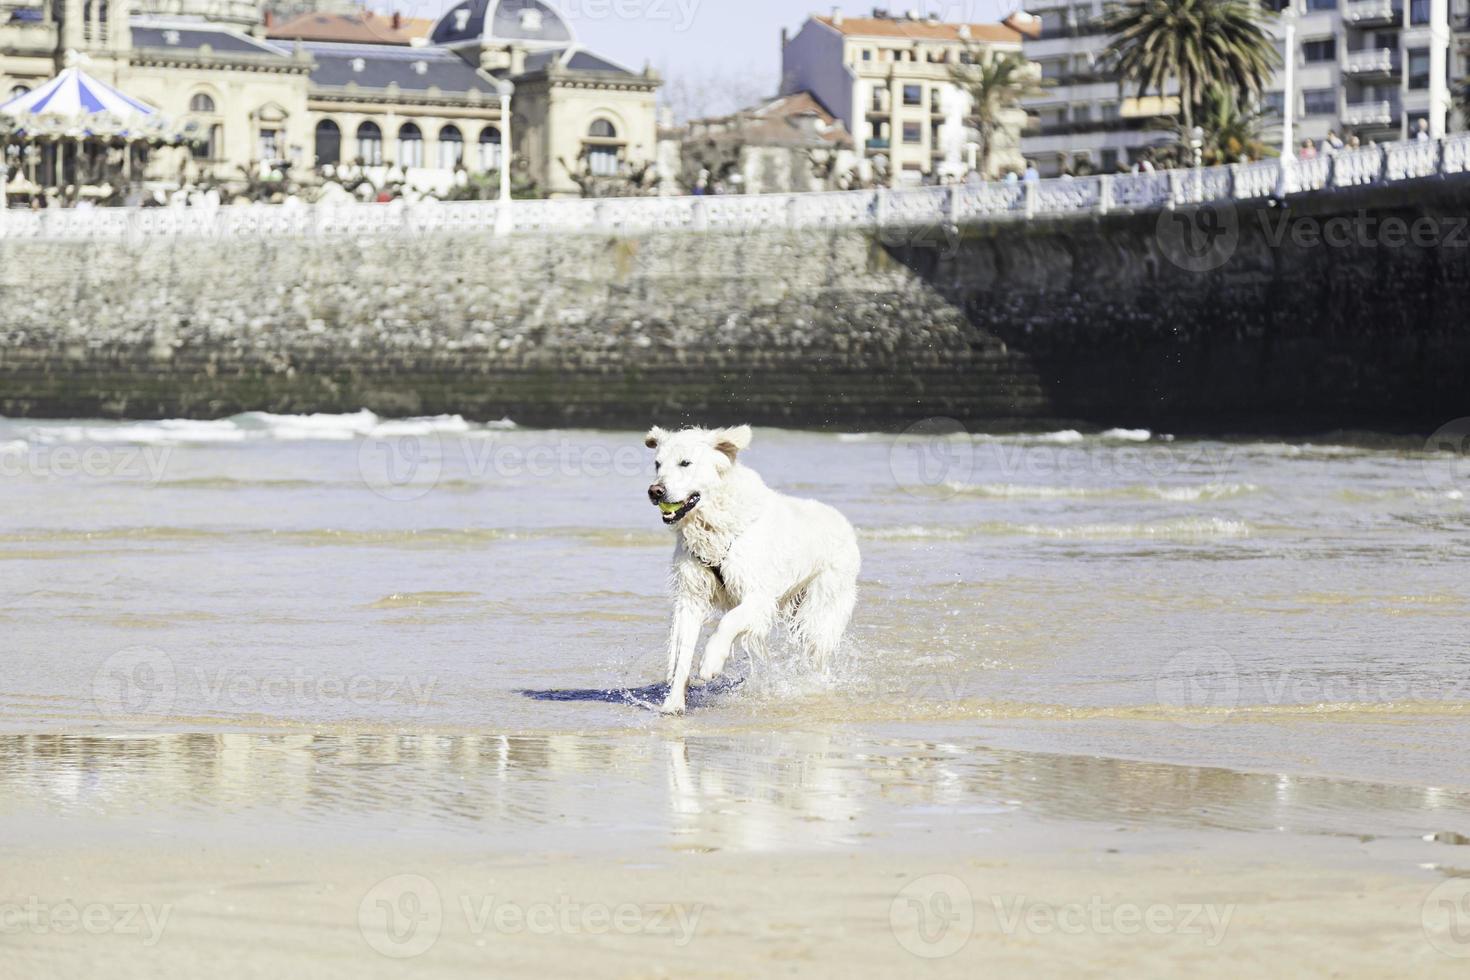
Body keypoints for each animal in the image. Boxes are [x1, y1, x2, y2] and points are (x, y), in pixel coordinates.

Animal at [643, 426, 858, 717]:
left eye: (685, 463)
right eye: (658, 464)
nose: (655, 491)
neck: (713, 524)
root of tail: (843, 521)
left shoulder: (759, 595)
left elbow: (728, 621)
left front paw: (711, 662)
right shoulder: (691, 596)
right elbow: (682, 654)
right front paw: (673, 703)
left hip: (819, 610)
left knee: (818, 653)